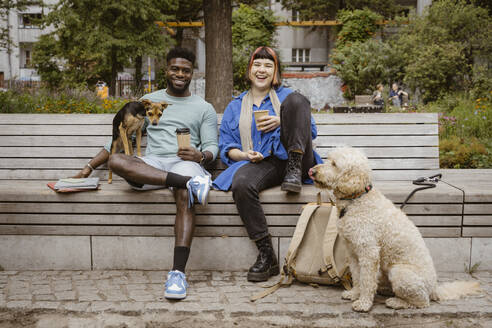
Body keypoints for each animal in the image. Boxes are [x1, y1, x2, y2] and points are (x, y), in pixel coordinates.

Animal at [310, 147, 478, 312]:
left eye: (334, 164)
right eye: (327, 159)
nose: (311, 171)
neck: (357, 199)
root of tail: (434, 288)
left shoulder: (368, 252)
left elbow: (366, 280)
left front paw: (364, 303)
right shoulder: (353, 252)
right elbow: (358, 276)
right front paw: (355, 293)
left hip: (399, 272)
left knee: (422, 302)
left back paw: (396, 302)